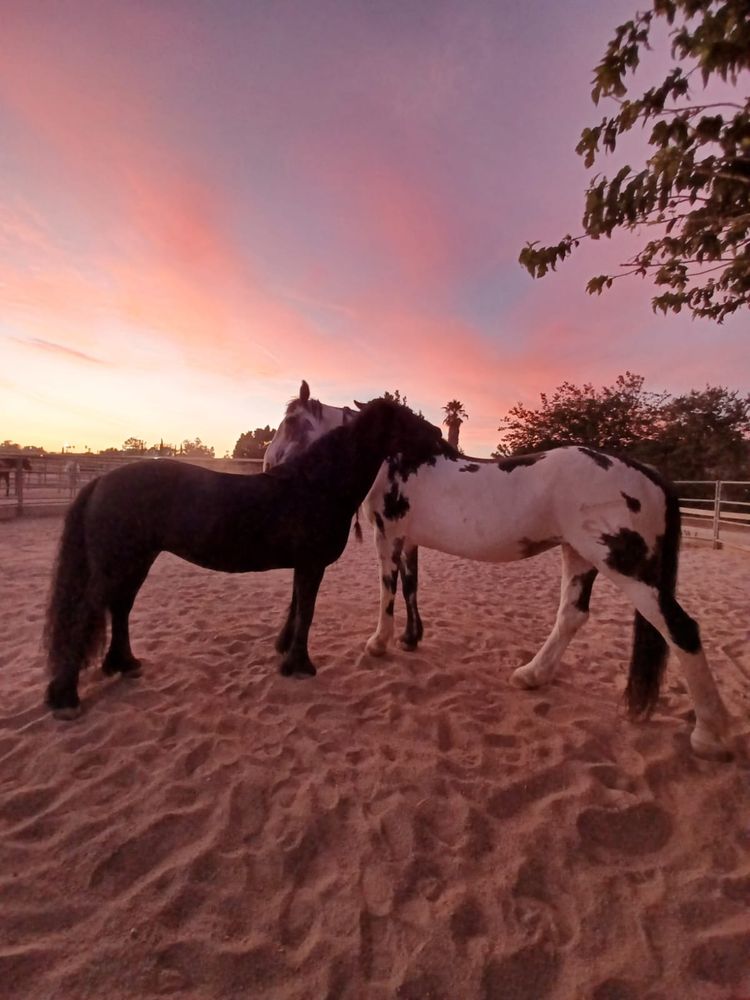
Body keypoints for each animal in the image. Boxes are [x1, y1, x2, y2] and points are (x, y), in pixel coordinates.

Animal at [44, 399, 443, 719]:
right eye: (407, 418)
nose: (440, 435)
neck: (316, 486)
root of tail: (101, 482)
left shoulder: (303, 565)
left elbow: (297, 608)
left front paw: (285, 655)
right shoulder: (311, 565)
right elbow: (306, 612)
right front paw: (300, 666)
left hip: (135, 562)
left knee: (121, 608)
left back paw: (125, 664)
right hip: (116, 565)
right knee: (87, 614)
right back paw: (66, 698)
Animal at [264, 382, 732, 760]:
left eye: (292, 420)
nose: (269, 464)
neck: (394, 459)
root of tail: (650, 474)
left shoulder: (389, 536)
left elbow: (388, 590)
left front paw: (379, 643)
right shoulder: (410, 540)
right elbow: (412, 586)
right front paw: (411, 638)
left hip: (627, 567)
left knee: (680, 628)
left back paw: (710, 733)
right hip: (579, 556)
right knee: (572, 616)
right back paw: (532, 675)